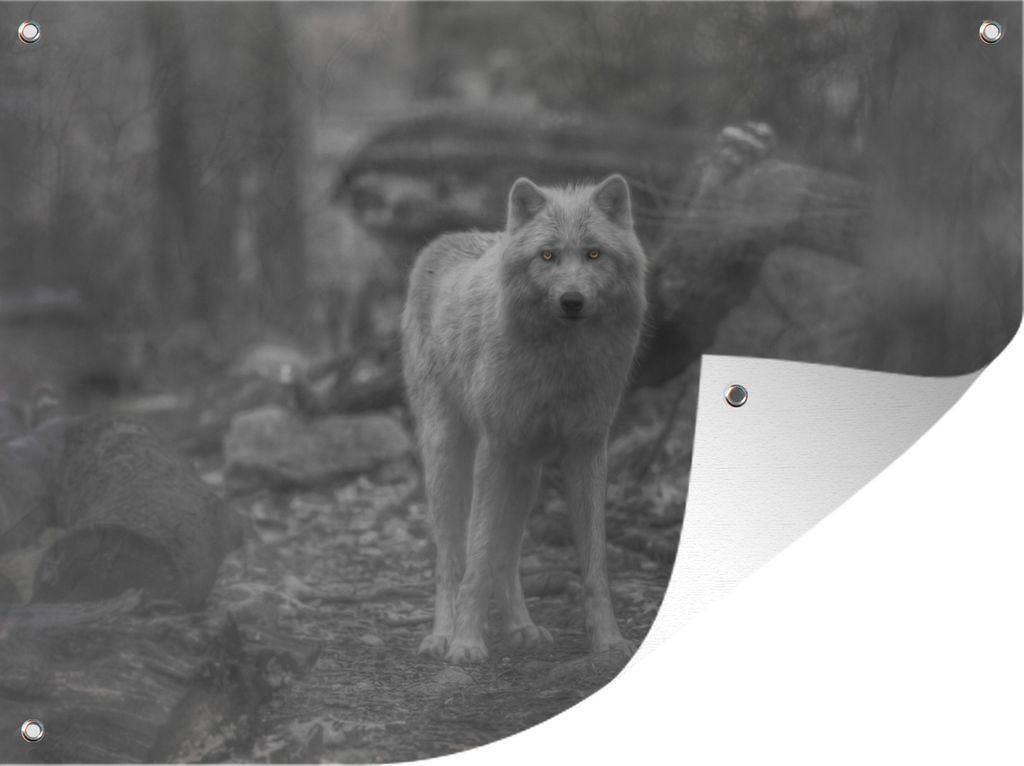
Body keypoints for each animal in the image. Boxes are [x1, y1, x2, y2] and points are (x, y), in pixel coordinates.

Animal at [401, 174, 647, 664]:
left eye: (594, 254)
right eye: (547, 255)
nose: (572, 300)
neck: (561, 365)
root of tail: (442, 241)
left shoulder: (587, 450)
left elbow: (594, 565)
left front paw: (608, 643)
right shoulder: (495, 449)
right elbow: (474, 560)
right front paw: (466, 644)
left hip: (526, 472)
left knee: (506, 557)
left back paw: (522, 628)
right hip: (450, 459)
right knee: (449, 558)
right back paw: (441, 636)